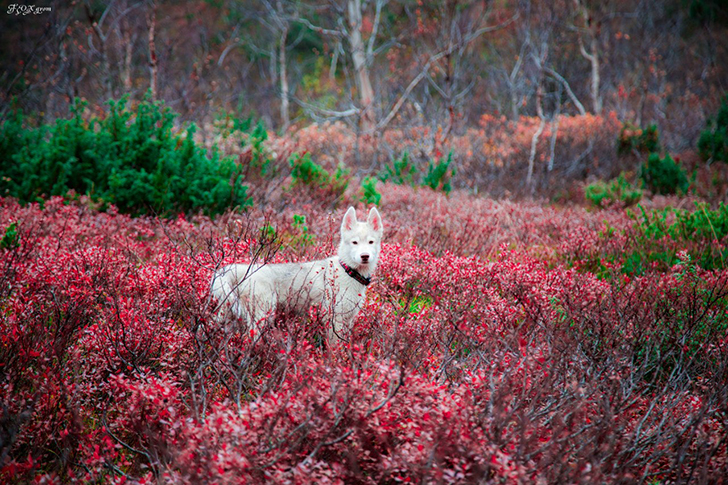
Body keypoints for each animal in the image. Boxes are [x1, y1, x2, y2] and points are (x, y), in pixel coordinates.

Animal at [209, 206, 384, 342]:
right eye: (354, 242)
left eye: (371, 242)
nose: (365, 256)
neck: (348, 272)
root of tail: (240, 270)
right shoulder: (334, 319)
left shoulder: (349, 319)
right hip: (261, 316)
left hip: (227, 315)